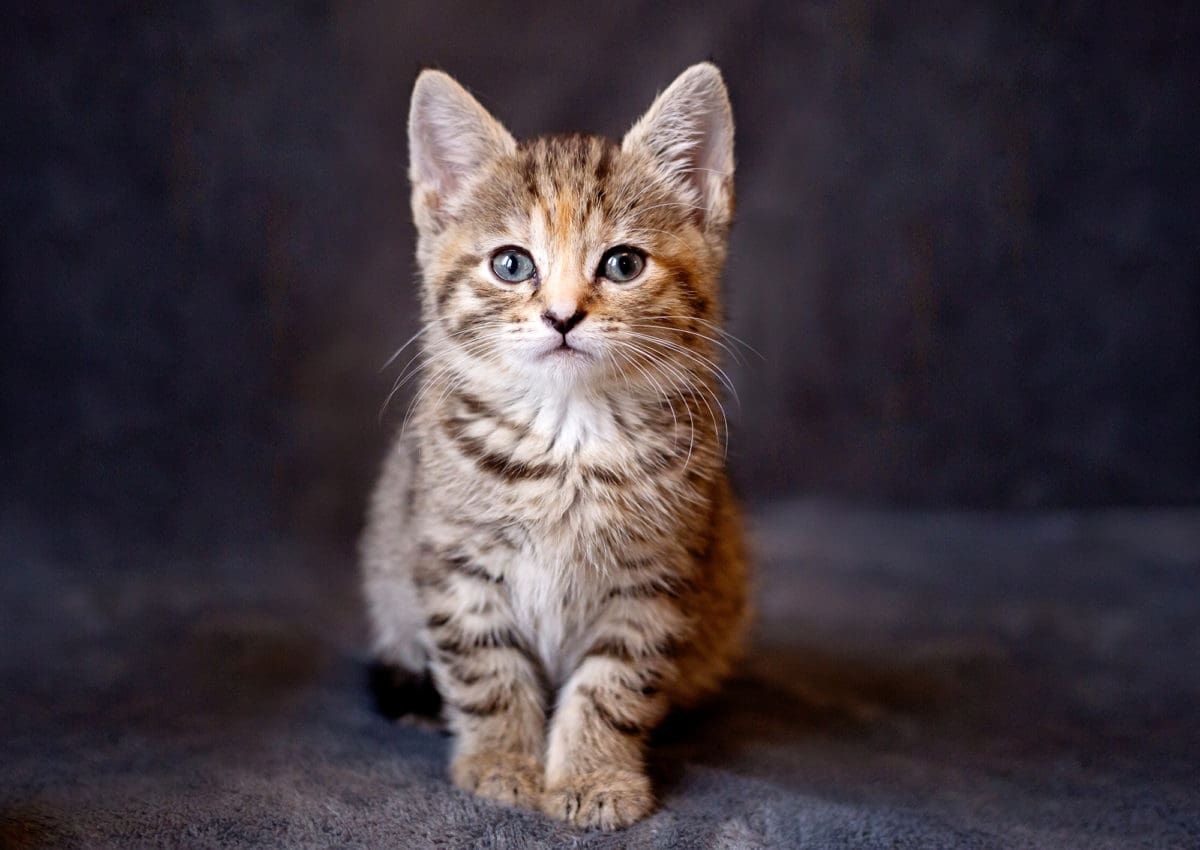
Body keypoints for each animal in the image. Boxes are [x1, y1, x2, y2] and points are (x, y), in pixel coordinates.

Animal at [360, 61, 744, 830]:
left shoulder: (655, 580)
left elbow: (613, 685)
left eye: (623, 264)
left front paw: (596, 775)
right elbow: (488, 671)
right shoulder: (455, 562)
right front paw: (500, 763)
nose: (563, 315)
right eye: (512, 264)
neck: (570, 439)